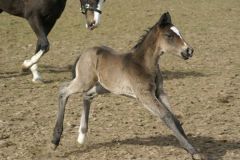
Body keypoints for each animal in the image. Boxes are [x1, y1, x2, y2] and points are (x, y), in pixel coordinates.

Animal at [52, 11, 206, 159]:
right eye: (169, 35)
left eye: (179, 32)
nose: (189, 51)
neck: (144, 64)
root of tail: (83, 53)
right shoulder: (145, 96)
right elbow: (166, 116)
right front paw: (194, 152)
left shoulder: (160, 93)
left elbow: (175, 118)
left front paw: (192, 147)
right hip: (84, 81)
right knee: (63, 90)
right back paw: (55, 140)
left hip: (103, 86)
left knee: (87, 95)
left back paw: (81, 136)